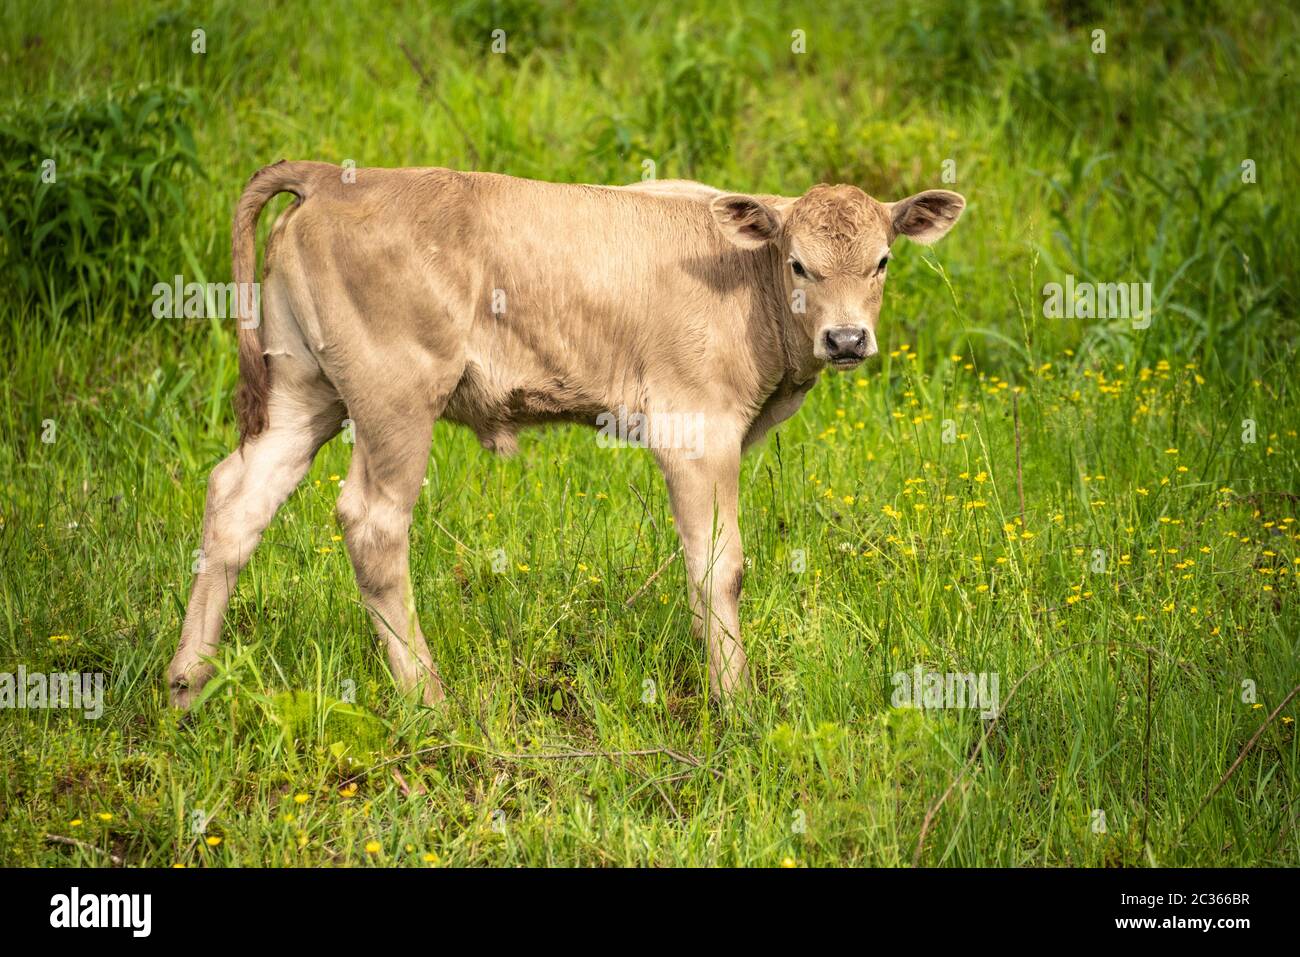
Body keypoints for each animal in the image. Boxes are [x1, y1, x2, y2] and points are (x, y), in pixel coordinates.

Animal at [165, 160, 967, 707]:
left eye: (882, 261)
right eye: (799, 263)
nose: (845, 338)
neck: (747, 284)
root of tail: (331, 176)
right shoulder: (697, 429)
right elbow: (720, 566)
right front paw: (734, 698)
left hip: (304, 391)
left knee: (236, 501)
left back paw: (186, 682)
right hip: (396, 401)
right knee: (371, 524)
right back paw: (428, 697)